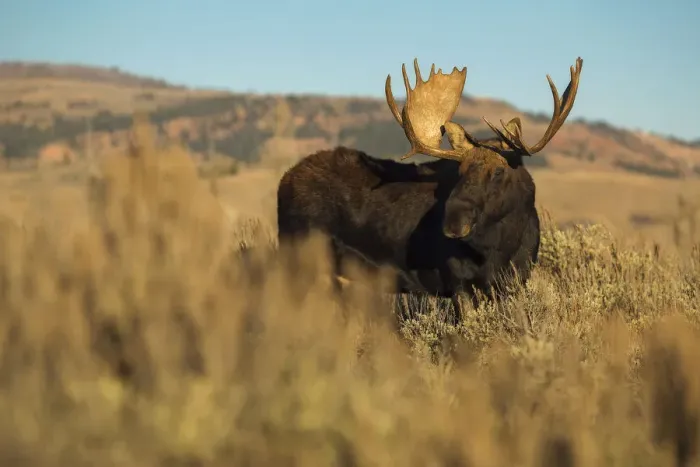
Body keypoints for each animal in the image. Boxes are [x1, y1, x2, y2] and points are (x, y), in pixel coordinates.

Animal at [276, 57, 583, 323]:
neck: (504, 244)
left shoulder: (515, 281)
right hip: (300, 257)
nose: (454, 222)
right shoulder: (458, 281)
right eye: (459, 170)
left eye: (498, 171)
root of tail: (284, 181)